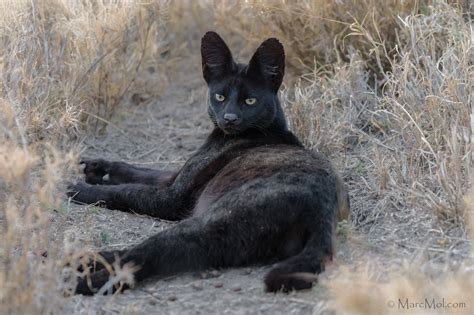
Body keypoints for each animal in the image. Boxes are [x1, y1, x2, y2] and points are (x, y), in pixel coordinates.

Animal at [65, 31, 348, 296]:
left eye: (250, 100)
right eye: (220, 96)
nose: (230, 118)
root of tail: (322, 215)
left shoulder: (171, 197)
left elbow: (126, 191)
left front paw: (78, 188)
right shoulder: (176, 179)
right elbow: (136, 170)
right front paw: (95, 168)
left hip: (205, 224)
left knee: (144, 256)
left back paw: (80, 278)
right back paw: (74, 260)